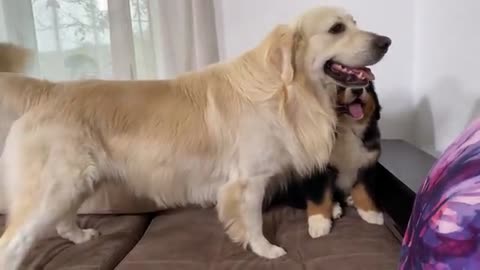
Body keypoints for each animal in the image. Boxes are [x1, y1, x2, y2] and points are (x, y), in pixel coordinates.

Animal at [268, 82, 384, 238]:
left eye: (366, 85)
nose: (358, 90)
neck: (347, 128)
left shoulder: (366, 164)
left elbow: (364, 191)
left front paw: (372, 214)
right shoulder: (317, 168)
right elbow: (319, 196)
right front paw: (319, 222)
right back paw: (334, 208)